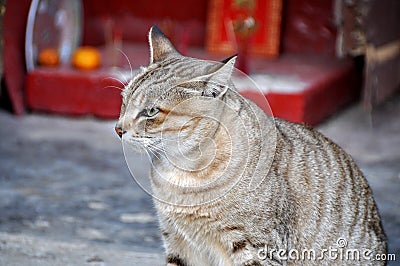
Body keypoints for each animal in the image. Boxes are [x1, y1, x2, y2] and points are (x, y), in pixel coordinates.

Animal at [115, 25, 388, 266]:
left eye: (151, 111)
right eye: (124, 101)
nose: (118, 129)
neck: (183, 172)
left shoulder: (255, 248)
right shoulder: (177, 241)